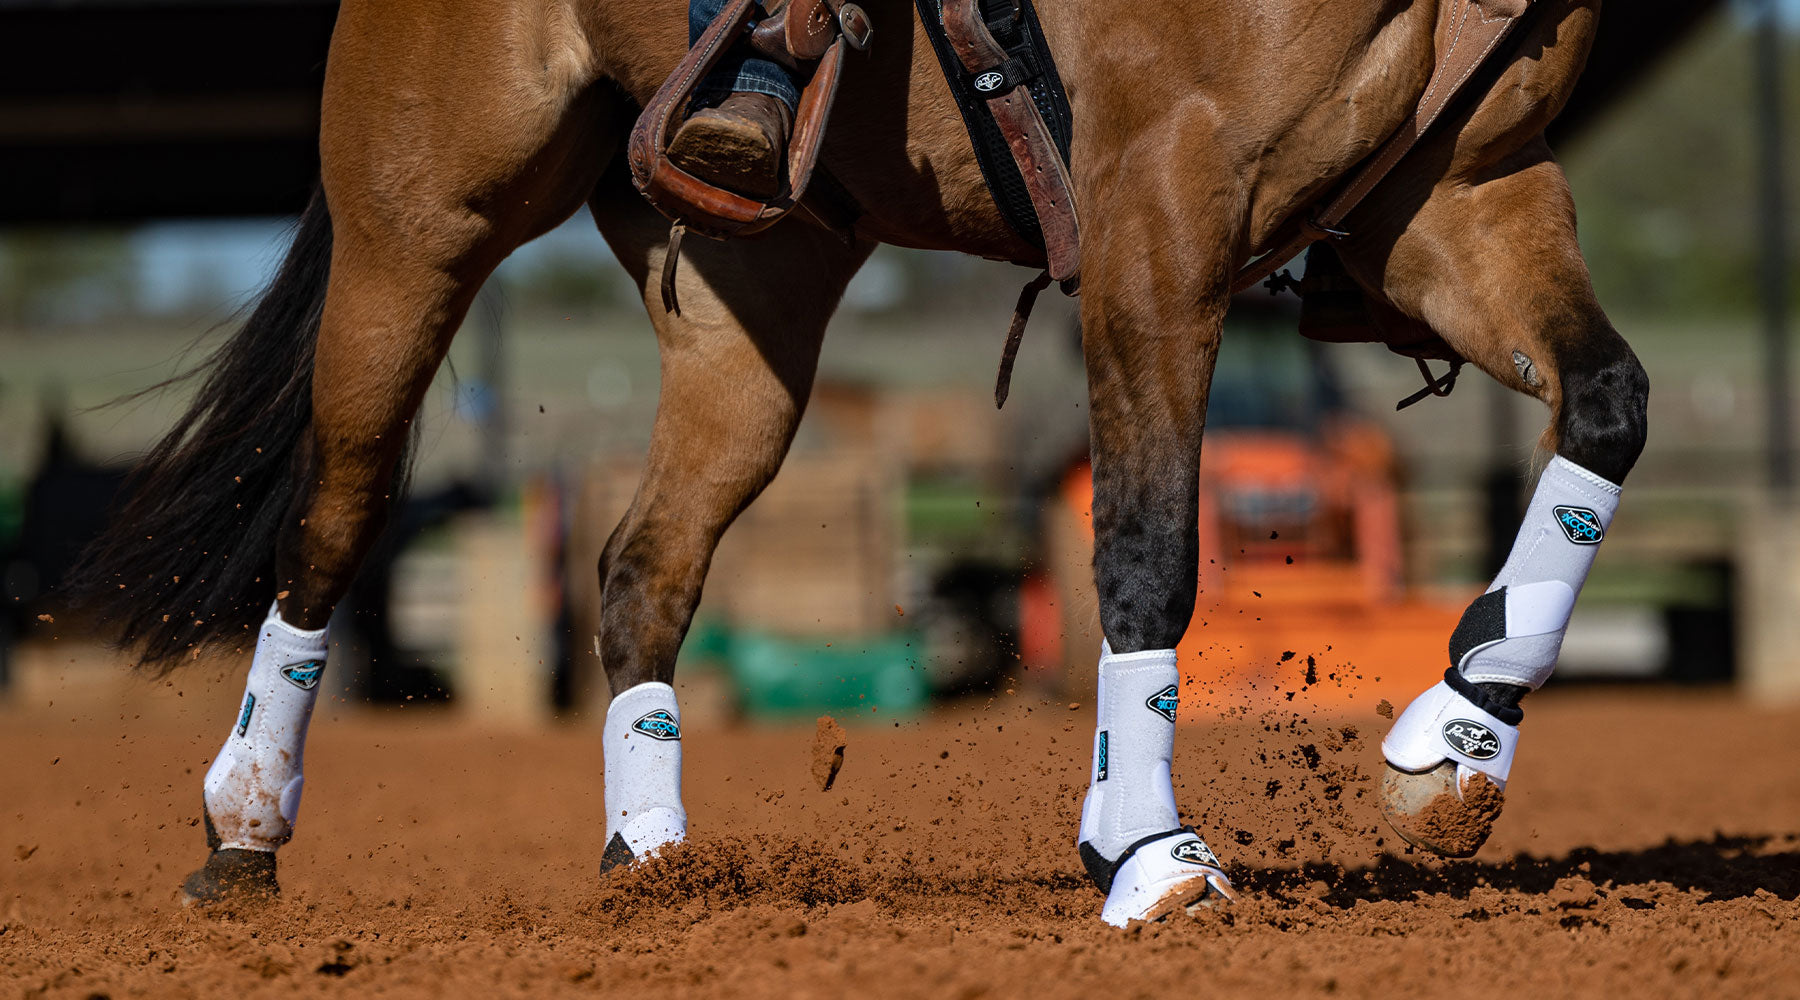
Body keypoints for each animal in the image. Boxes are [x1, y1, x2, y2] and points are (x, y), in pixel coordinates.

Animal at [72, 0, 1643, 924]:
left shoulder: (1463, 187)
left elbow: (1608, 409)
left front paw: (1458, 737)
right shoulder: (1162, 209)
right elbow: (1145, 547)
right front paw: (1150, 852)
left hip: (752, 298)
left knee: (643, 565)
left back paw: (657, 857)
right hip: (418, 229)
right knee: (332, 524)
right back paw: (243, 828)